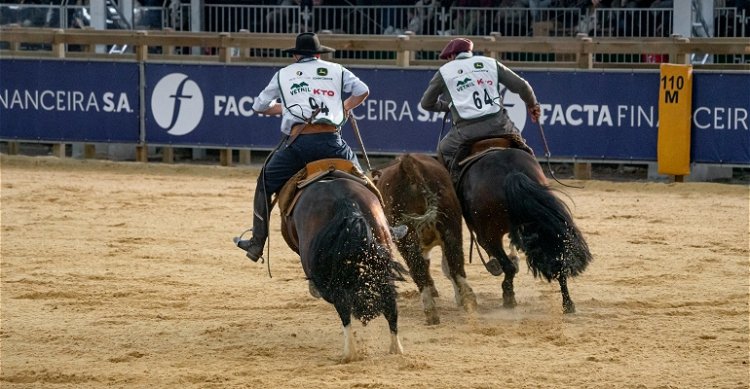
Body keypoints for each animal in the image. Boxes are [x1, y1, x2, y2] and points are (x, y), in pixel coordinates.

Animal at [280, 170, 406, 360]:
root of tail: (344, 200)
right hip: (383, 262)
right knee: (390, 303)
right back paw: (396, 348)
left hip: (334, 280)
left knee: (343, 307)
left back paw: (349, 353)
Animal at [374, 153, 476, 322]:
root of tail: (408, 165)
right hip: (451, 226)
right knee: (455, 263)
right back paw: (469, 300)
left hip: (406, 237)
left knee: (418, 268)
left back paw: (430, 311)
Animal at [458, 146, 592, 312]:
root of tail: (511, 172)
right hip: (542, 227)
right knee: (558, 262)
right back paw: (568, 304)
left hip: (489, 234)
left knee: (507, 265)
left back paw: (508, 296)